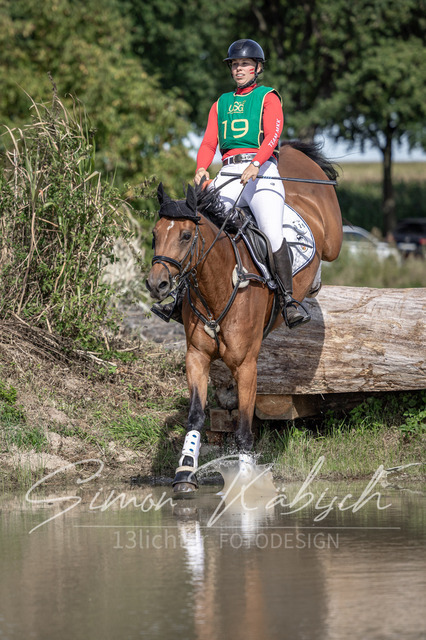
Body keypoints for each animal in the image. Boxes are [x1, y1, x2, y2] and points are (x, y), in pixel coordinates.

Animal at [146, 140, 342, 492]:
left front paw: (246, 481)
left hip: (330, 233)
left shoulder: (247, 365)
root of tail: (292, 152)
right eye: (155, 234)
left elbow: (243, 427)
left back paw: (310, 287)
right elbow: (196, 415)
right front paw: (185, 471)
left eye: (185, 236)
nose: (157, 285)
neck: (218, 286)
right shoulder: (196, 357)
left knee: (326, 249)